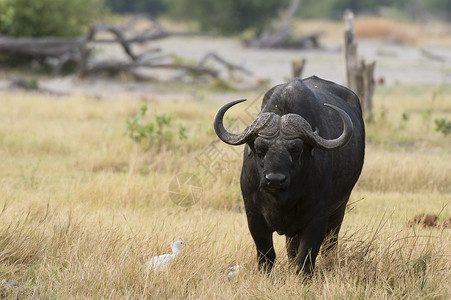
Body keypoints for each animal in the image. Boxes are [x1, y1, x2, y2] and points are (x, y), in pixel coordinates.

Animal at [214, 75, 366, 276]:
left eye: (296, 150)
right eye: (260, 149)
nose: (274, 180)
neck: (282, 199)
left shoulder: (317, 218)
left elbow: (305, 260)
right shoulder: (253, 217)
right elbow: (266, 256)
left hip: (339, 209)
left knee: (330, 245)